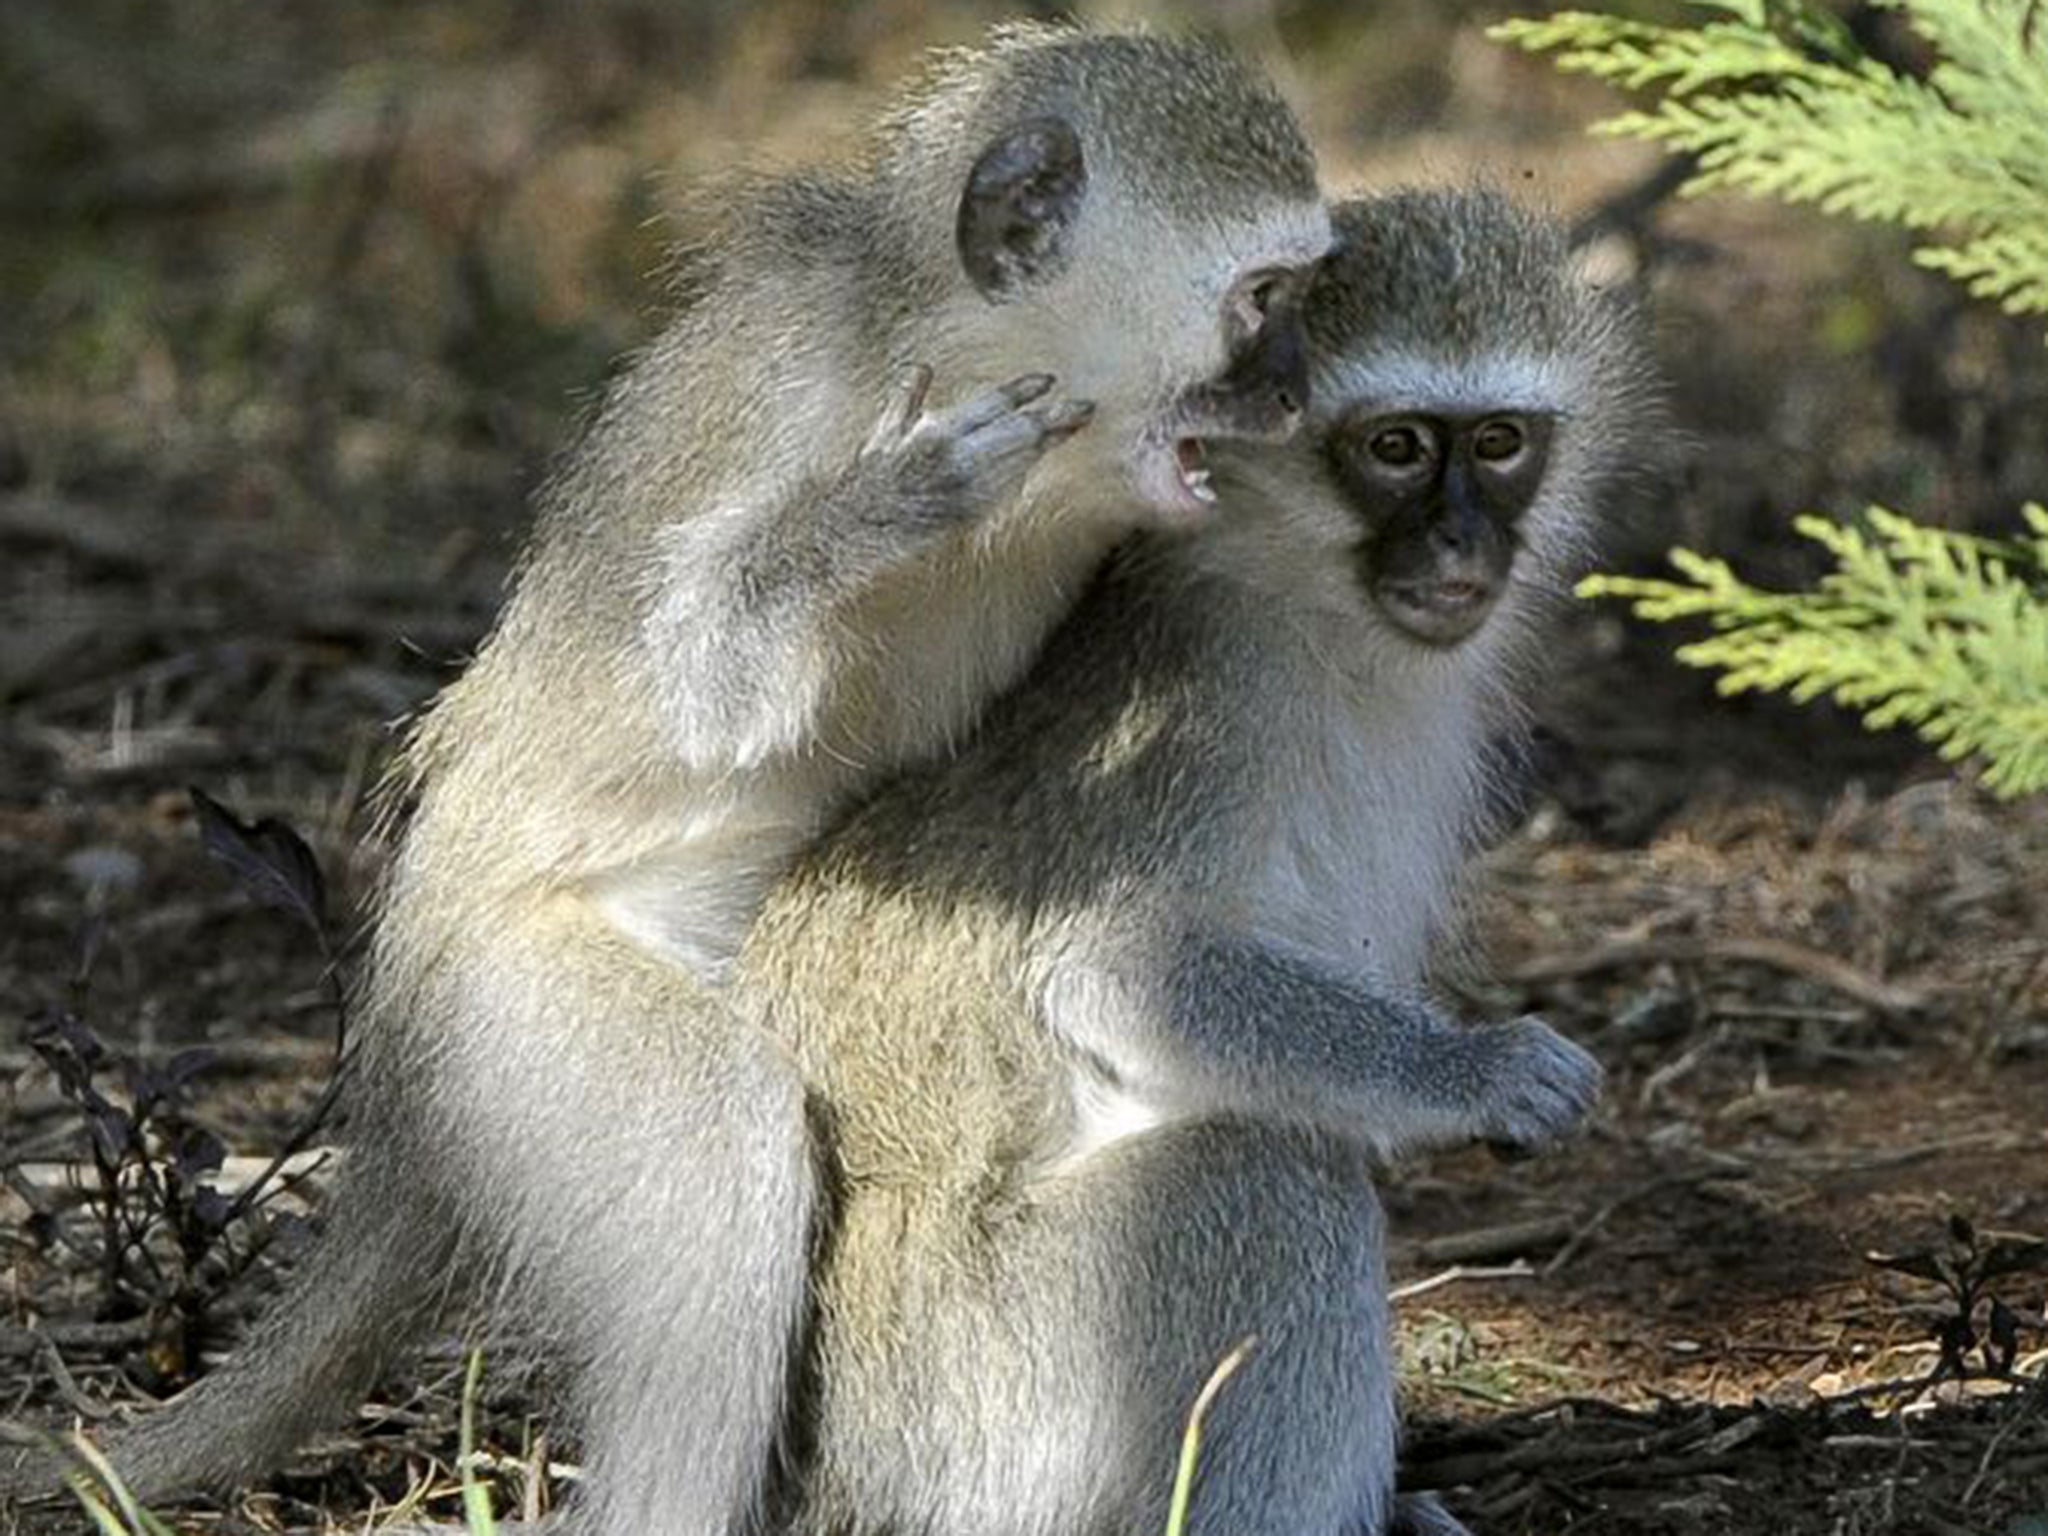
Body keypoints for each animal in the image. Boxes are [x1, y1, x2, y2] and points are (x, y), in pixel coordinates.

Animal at [0, 24, 1327, 1536]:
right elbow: (700, 681)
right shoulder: (796, 395)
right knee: (717, 1155)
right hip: (504, 1031)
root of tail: (395, 1026)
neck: (952, 342)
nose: (1297, 398)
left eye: (1306, 299)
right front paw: (863, 520)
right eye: (1264, 305)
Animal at [745, 189, 1654, 1536]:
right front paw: (1480, 1070)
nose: (1458, 547)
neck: (1298, 598)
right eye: (1393, 448)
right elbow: (1109, 970)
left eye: (1496, 443)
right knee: (1265, 1173)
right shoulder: (1207, 702)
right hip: (983, 1397)